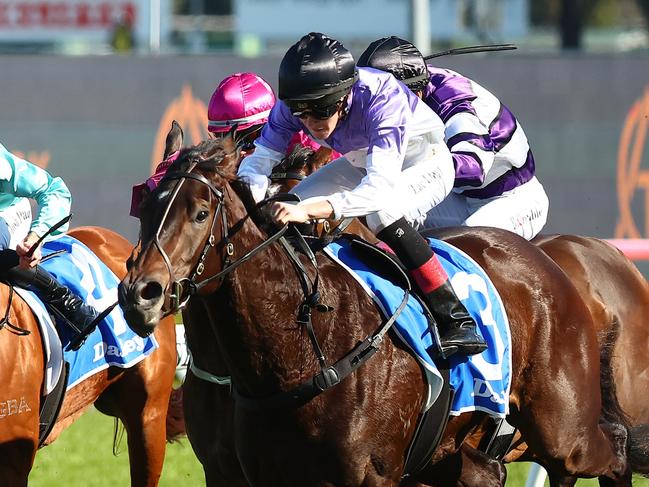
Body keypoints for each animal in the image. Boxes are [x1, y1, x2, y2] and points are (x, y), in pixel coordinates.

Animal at [117, 134, 648, 487]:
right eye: (145, 208)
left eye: (200, 213)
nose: (141, 293)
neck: (304, 351)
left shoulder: (370, 476)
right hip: (461, 456)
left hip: (565, 431)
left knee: (617, 447)